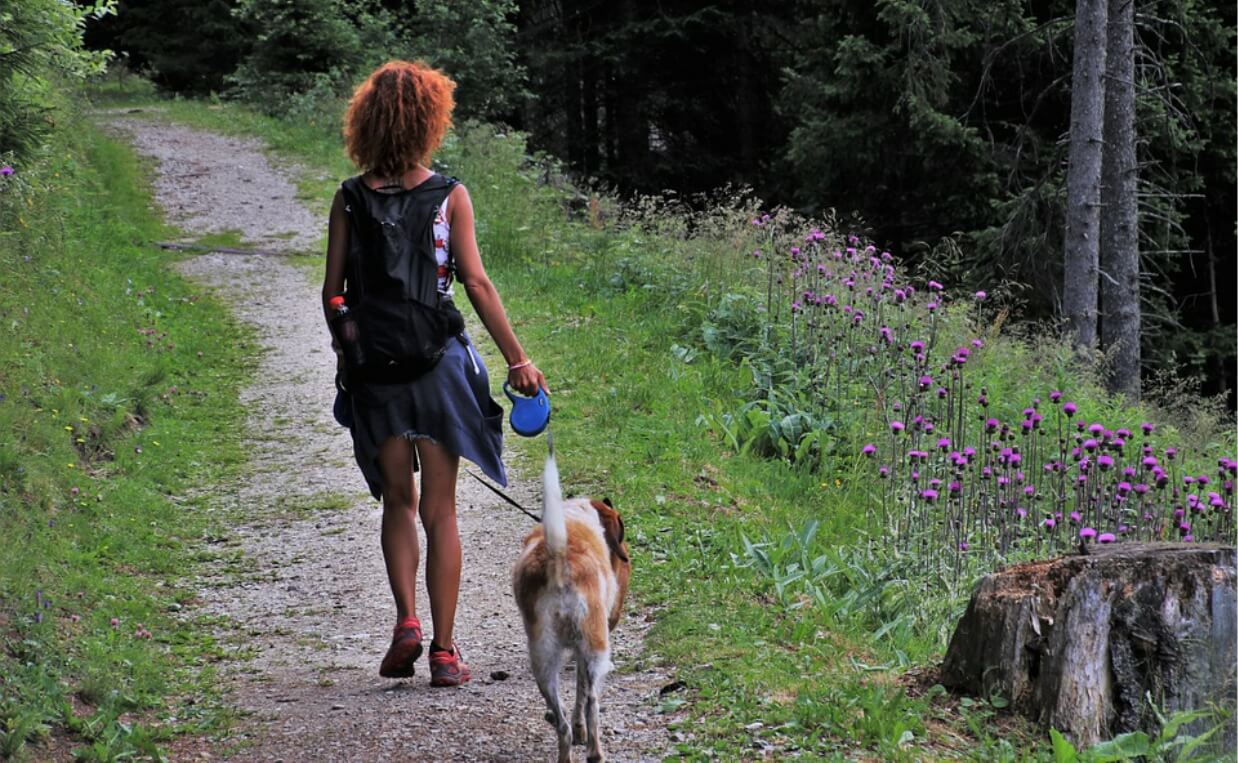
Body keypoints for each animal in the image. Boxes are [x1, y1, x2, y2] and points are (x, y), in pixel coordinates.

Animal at [512, 453, 628, 763]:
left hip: (542, 659)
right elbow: (581, 693)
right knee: (592, 703)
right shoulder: (584, 651)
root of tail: (558, 559)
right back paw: (595, 751)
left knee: (562, 723)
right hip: (596, 649)